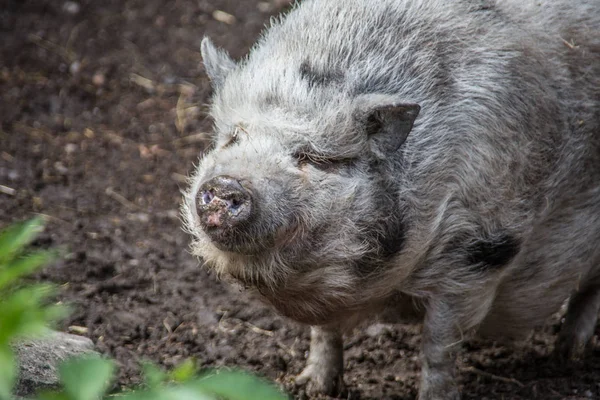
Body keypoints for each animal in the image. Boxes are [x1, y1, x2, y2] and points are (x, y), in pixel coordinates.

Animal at [183, 0, 600, 398]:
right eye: (233, 138)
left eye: (311, 157)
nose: (227, 185)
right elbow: (324, 332)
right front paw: (310, 387)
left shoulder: (476, 252)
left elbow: (438, 344)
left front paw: (435, 397)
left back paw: (569, 357)